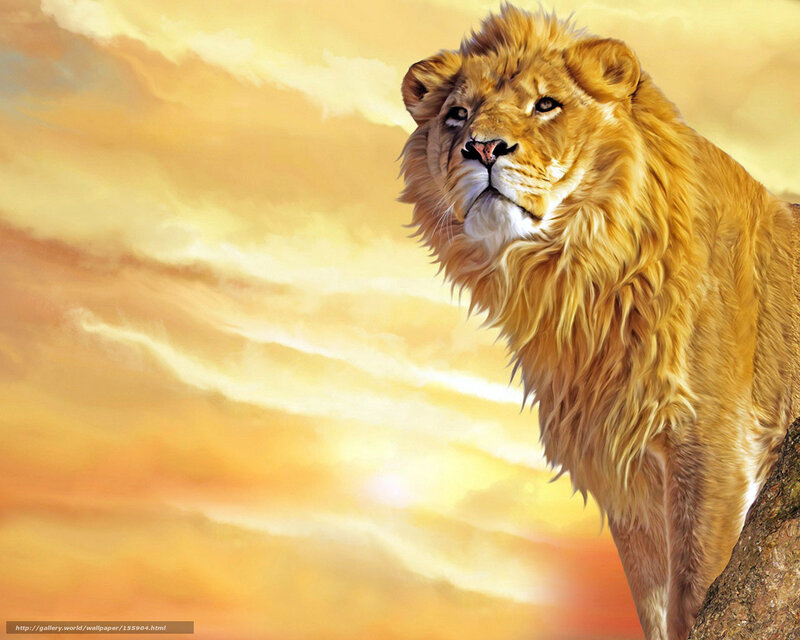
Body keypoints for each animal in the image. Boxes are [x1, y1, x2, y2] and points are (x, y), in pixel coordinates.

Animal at [398, 6, 800, 640]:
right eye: (457, 115)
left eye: (546, 104)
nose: (482, 148)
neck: (574, 279)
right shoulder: (625, 474)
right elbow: (656, 604)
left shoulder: (716, 445)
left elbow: (698, 586)